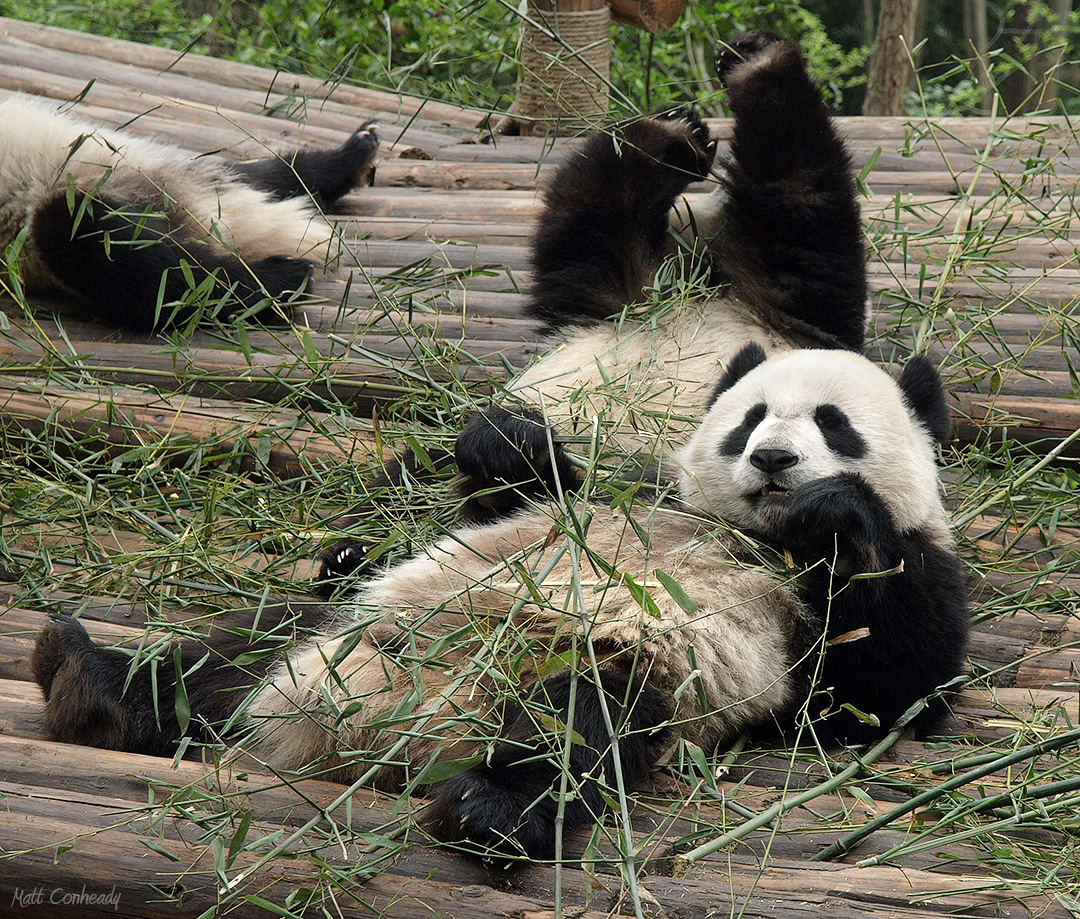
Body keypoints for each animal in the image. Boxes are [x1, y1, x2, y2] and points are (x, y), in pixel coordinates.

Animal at [0, 95, 380, 332]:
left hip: (120, 158)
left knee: (261, 173)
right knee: (129, 262)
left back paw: (355, 153)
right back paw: (283, 278)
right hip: (46, 223)